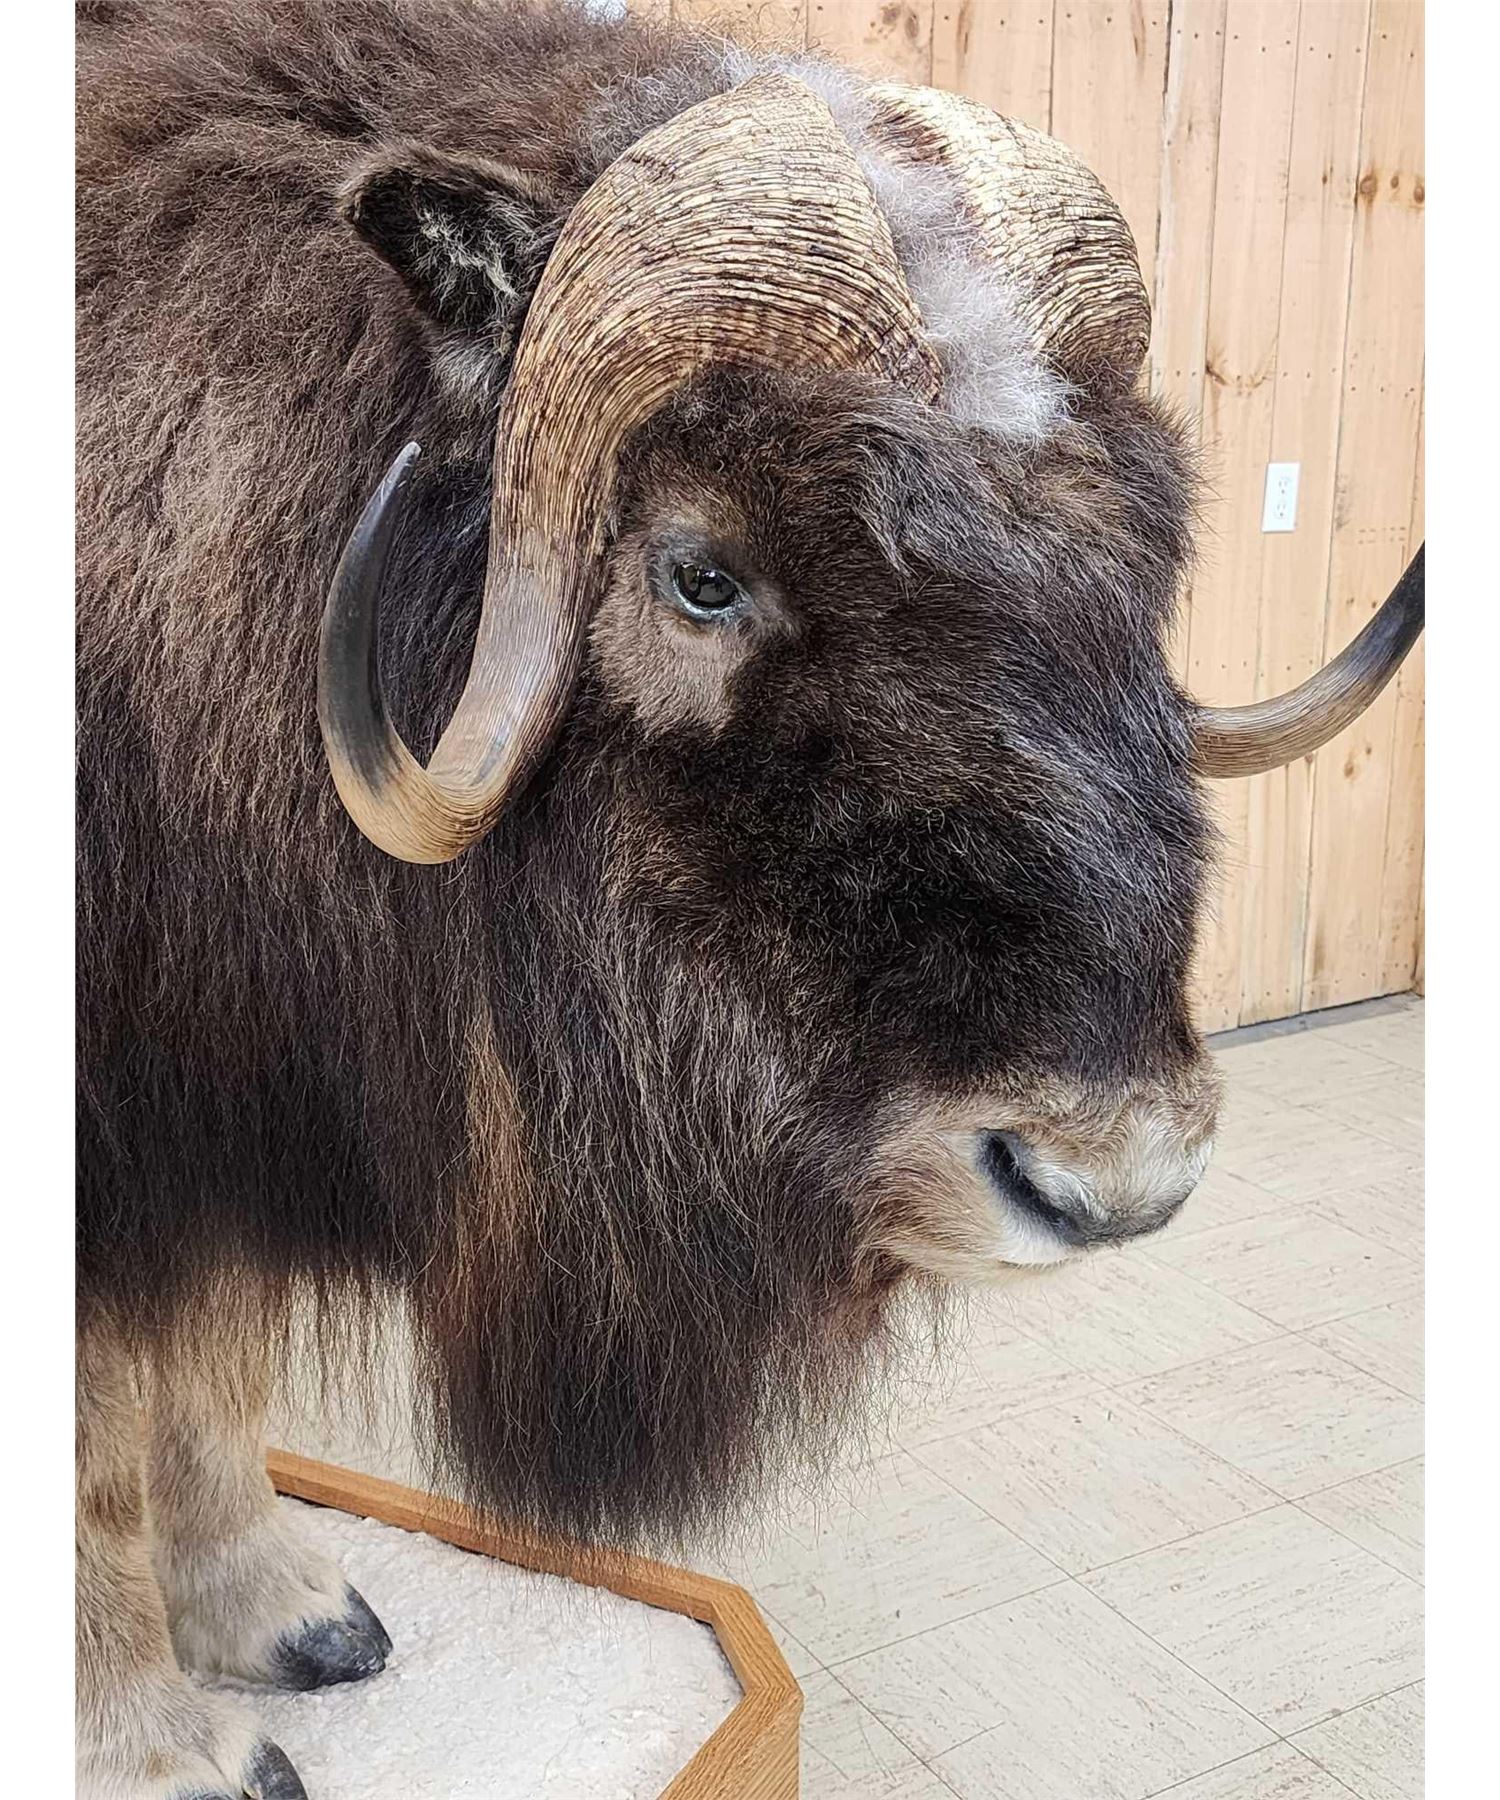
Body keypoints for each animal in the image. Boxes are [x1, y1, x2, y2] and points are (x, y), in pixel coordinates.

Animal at [75, 2, 1424, 1794]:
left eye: (1141, 551)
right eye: (699, 572)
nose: (1114, 1177)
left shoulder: (217, 1083)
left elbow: (206, 1360)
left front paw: (298, 1621)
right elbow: (97, 1433)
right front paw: (169, 1747)